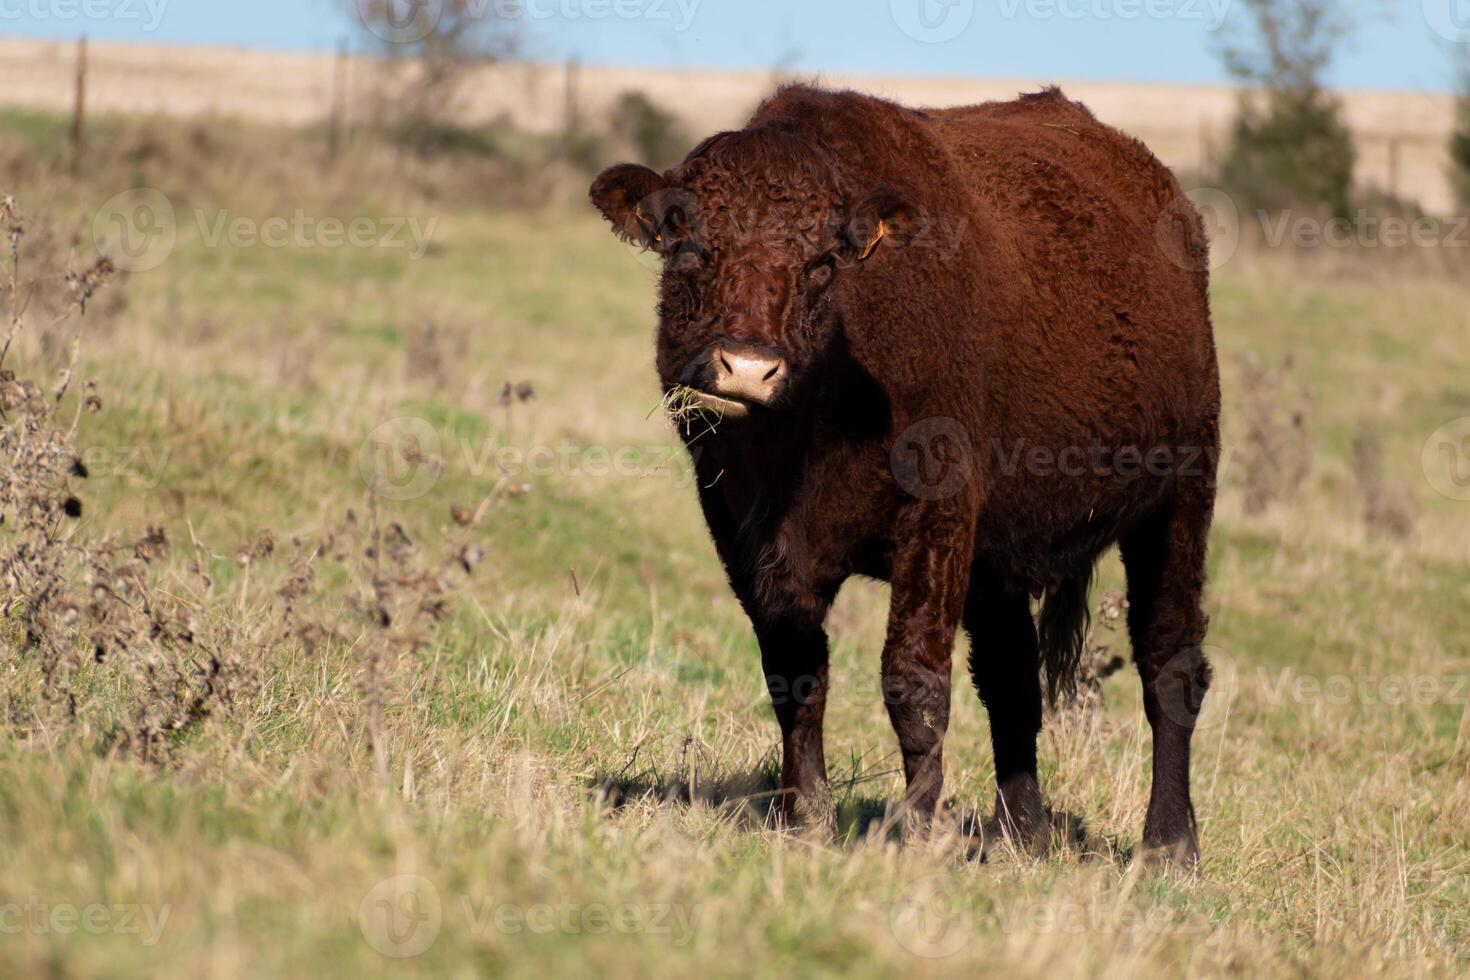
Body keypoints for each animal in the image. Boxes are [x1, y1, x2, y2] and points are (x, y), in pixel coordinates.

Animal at [590, 84, 1223, 863]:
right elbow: (795, 673)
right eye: (689, 244)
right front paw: (805, 819)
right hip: (1000, 561)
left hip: (1180, 501)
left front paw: (914, 833)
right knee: (1012, 679)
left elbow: (913, 684)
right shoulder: (747, 535)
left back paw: (1170, 844)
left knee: (1171, 663)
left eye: (822, 263)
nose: (747, 366)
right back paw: (1024, 834)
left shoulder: (936, 518)